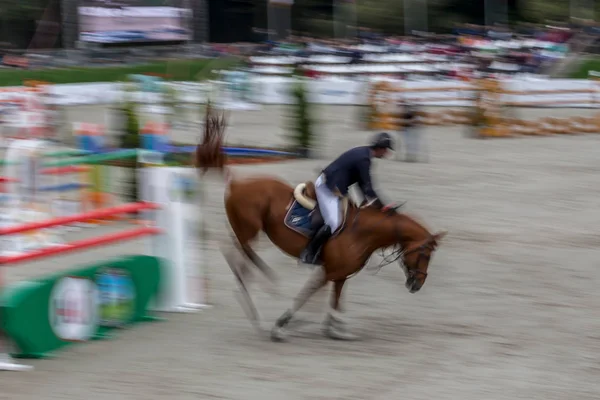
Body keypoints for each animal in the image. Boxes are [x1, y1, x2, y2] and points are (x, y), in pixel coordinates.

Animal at [197, 108, 446, 342]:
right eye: (425, 254)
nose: (417, 285)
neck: (364, 234)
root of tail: (235, 181)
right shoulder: (328, 272)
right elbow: (306, 297)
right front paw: (282, 326)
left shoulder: (340, 275)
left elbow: (335, 301)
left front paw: (336, 329)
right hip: (250, 230)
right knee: (239, 254)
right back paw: (262, 290)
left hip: (248, 231)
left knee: (235, 252)